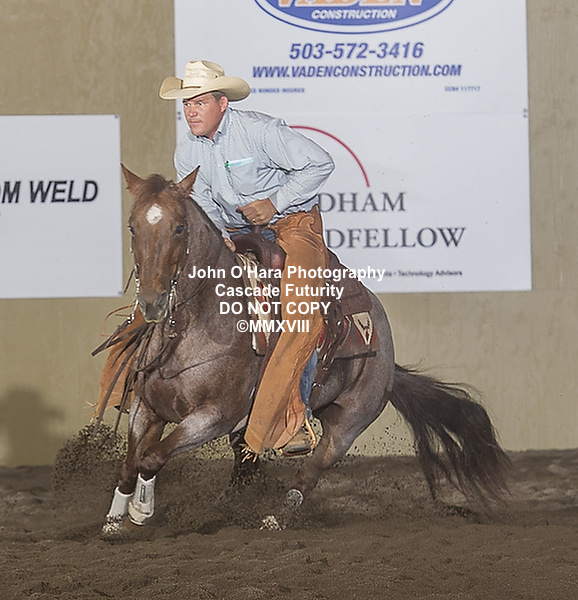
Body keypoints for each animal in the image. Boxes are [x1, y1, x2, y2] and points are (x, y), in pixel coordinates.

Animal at [98, 165, 510, 535]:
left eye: (179, 228)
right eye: (133, 226)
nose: (152, 302)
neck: (197, 326)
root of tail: (388, 355)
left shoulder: (214, 417)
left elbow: (151, 458)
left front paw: (140, 512)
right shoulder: (147, 408)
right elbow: (130, 462)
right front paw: (114, 521)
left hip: (347, 425)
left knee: (310, 473)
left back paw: (274, 519)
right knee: (245, 468)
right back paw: (223, 510)